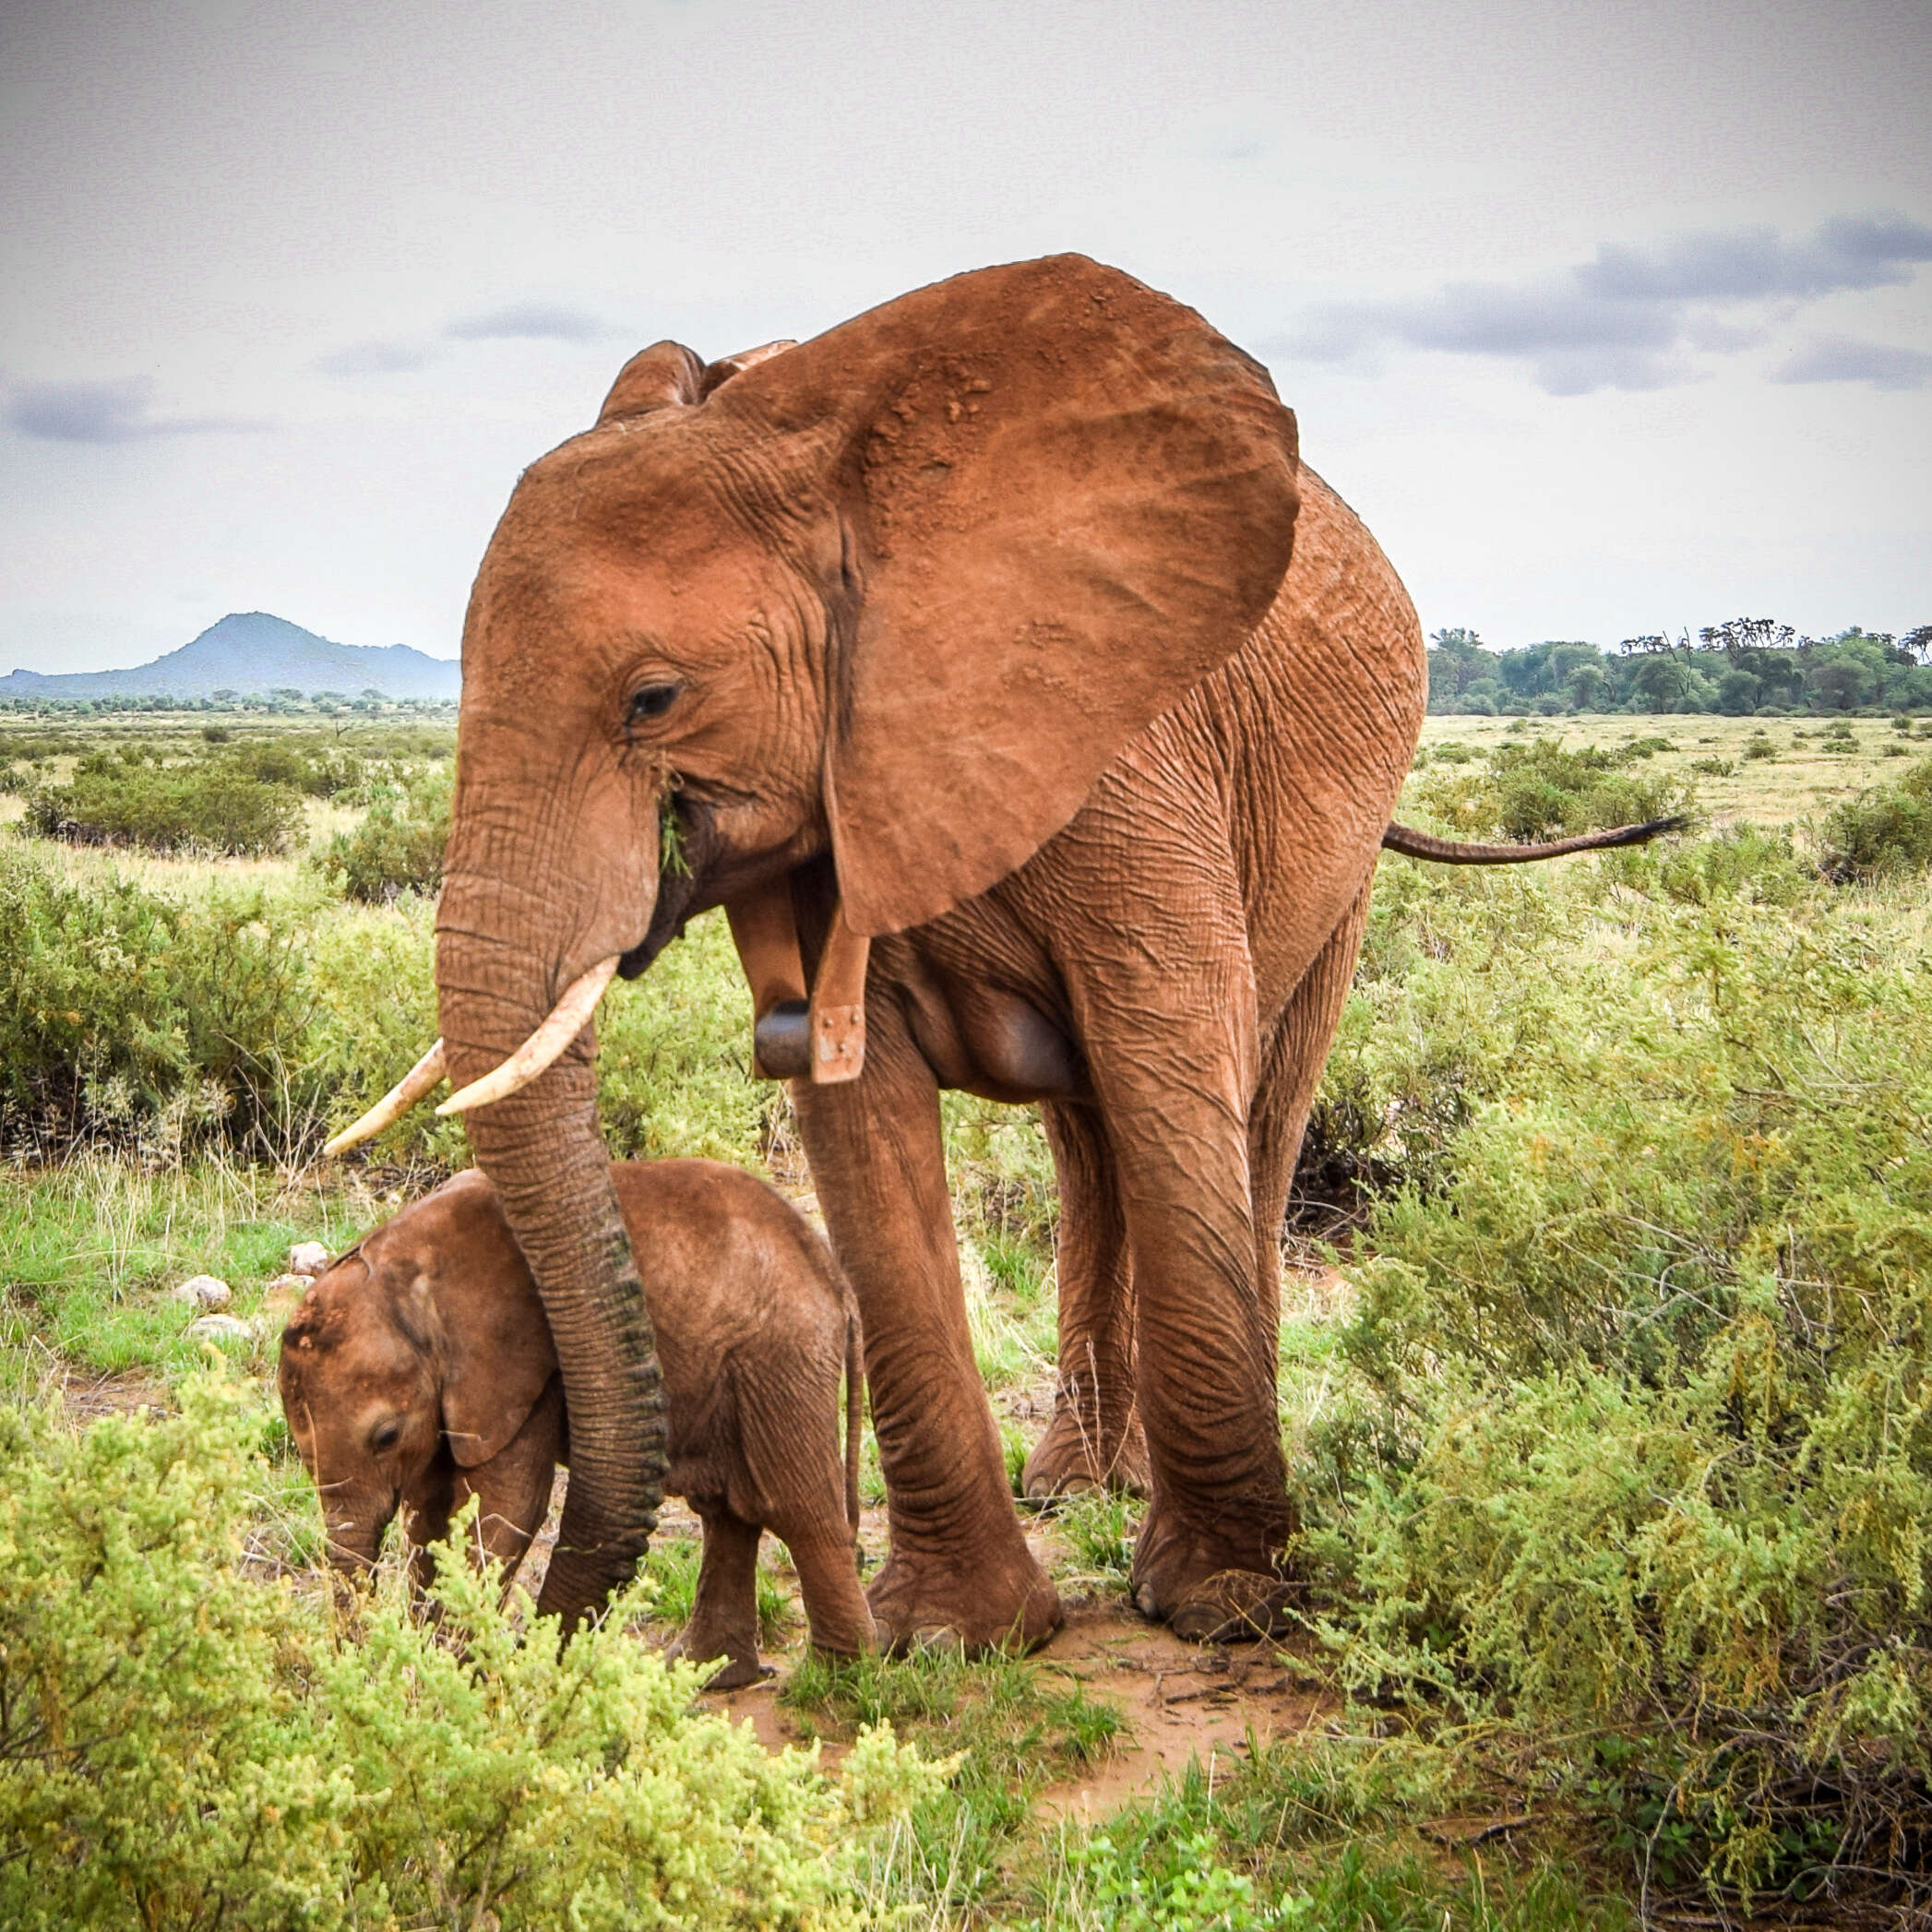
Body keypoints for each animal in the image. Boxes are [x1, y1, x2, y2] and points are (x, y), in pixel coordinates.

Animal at [276, 1151, 873, 1684]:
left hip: (780, 1352)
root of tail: (836, 1281)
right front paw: (429, 1661)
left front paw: (449, 1672)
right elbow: (429, 1514)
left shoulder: (524, 1365)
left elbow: (504, 1509)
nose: (358, 1667)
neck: (403, 1266)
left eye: (386, 1436)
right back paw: (705, 1674)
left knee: (796, 1507)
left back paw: (838, 1679)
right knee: (727, 1508)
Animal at [347, 253, 1630, 1646]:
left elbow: (1176, 1052)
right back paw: (1077, 1481)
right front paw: (958, 1635)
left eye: (653, 700)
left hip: (1341, 849)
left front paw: (1224, 1603)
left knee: (1255, 1102)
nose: (510, 1616)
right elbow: (857, 1117)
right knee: (1092, 1141)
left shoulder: (1128, 753)